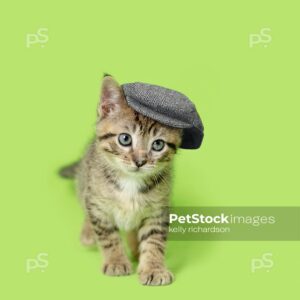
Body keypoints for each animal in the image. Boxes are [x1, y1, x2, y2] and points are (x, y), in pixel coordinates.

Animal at [60, 75, 182, 286]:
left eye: (158, 144)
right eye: (125, 139)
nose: (140, 161)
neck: (130, 181)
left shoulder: (158, 209)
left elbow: (154, 240)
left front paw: (153, 268)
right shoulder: (98, 206)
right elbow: (108, 236)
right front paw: (116, 261)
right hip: (84, 181)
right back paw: (88, 233)